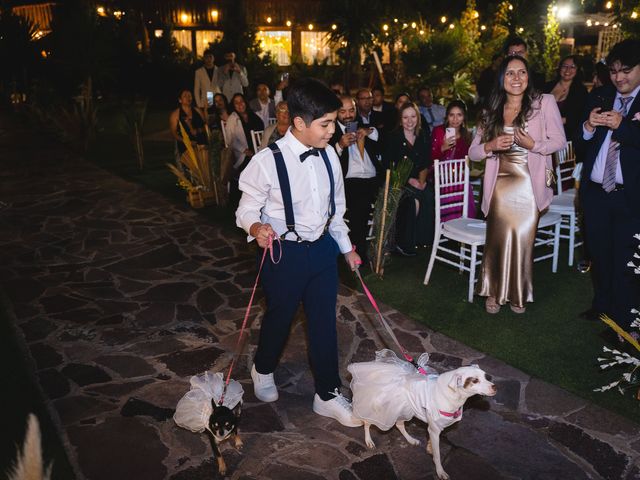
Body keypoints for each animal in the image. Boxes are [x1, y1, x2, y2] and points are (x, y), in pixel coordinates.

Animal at [350, 348, 496, 480]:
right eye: (475, 380)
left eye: (486, 376)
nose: (494, 387)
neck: (452, 395)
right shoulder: (434, 429)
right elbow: (437, 455)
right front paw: (440, 471)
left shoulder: (437, 428)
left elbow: (432, 444)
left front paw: (430, 447)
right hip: (379, 408)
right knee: (366, 422)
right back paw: (368, 440)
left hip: (403, 410)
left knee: (399, 424)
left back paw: (410, 439)